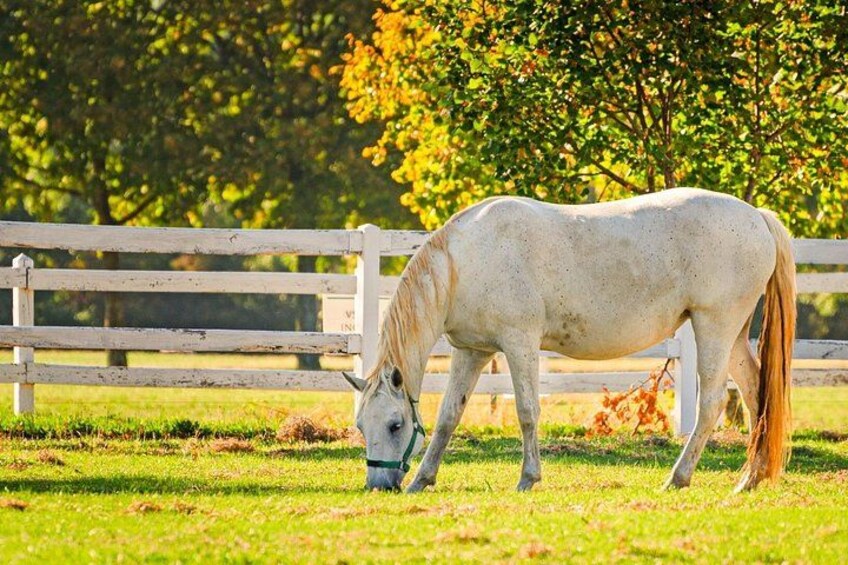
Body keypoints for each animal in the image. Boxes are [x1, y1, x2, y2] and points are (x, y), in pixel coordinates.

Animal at [343, 188, 795, 493]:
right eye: (361, 424)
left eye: (395, 423)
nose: (378, 485)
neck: (466, 261)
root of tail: (756, 216)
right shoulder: (472, 351)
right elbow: (448, 418)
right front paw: (423, 479)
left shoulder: (519, 344)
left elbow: (527, 412)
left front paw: (528, 478)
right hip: (733, 336)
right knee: (755, 394)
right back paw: (750, 480)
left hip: (714, 327)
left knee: (712, 403)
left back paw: (678, 478)